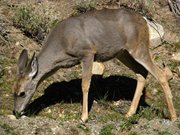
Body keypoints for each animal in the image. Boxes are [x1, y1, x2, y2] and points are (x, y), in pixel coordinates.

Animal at [13, 7, 177, 123]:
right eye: (13, 92)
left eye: (22, 93)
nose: (16, 112)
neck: (61, 46)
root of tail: (144, 20)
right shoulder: (58, 65)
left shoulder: (87, 53)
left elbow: (85, 84)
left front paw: (83, 117)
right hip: (123, 53)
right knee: (141, 73)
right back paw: (129, 113)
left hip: (139, 47)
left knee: (160, 74)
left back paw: (173, 116)